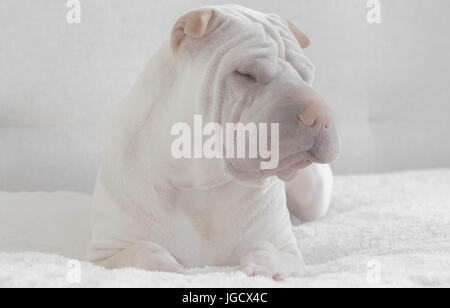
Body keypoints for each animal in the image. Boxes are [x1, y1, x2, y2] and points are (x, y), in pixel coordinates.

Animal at [87, 4, 338, 280]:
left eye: (306, 75)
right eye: (246, 74)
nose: (322, 115)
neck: (202, 180)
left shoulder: (286, 250)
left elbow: (266, 249)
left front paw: (261, 268)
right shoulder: (105, 255)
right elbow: (147, 250)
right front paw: (172, 269)